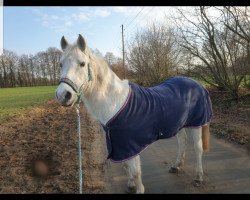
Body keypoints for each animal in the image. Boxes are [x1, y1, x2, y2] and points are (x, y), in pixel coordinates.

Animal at [55, 34, 212, 194]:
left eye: (82, 63)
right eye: (60, 64)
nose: (63, 95)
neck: (115, 102)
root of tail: (197, 83)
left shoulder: (130, 144)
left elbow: (135, 170)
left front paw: (139, 189)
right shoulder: (120, 144)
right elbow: (126, 166)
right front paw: (130, 185)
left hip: (196, 124)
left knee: (198, 148)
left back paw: (198, 177)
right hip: (179, 124)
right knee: (183, 142)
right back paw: (176, 166)